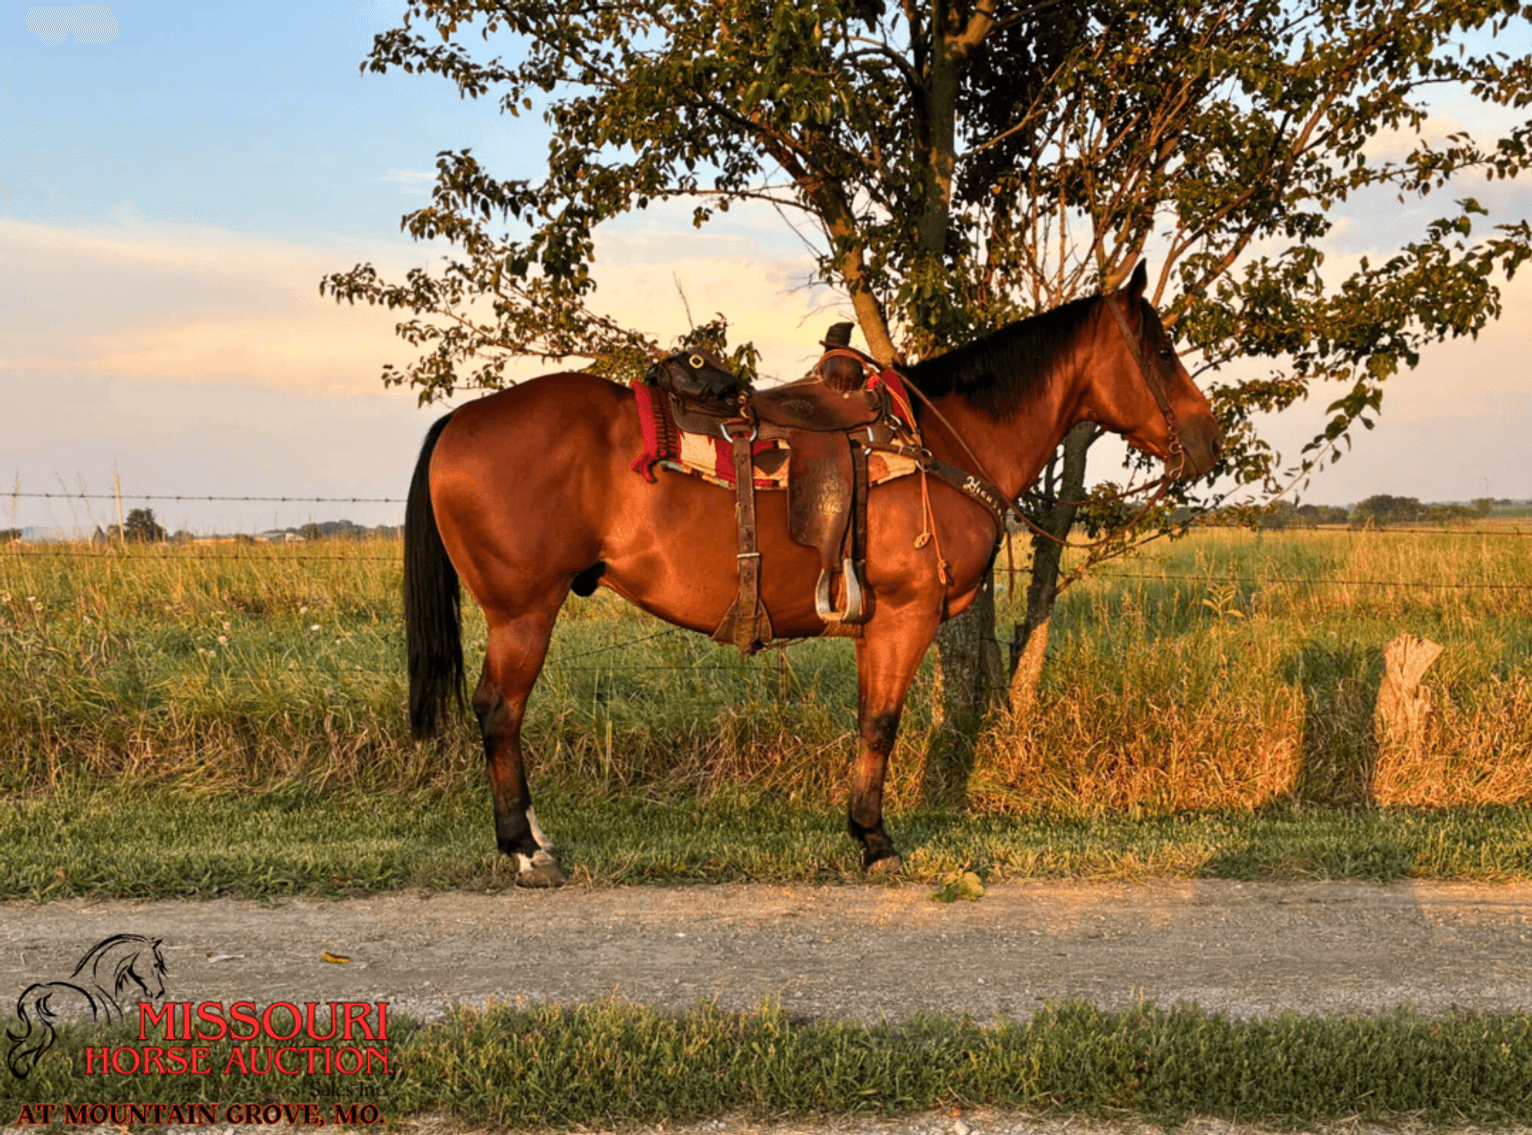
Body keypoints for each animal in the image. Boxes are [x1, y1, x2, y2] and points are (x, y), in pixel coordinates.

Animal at [404, 263, 1222, 886]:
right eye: (1160, 350)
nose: (1210, 439)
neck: (947, 440)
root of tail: (459, 421)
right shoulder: (906, 613)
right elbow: (883, 723)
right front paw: (876, 841)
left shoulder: (874, 622)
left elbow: (869, 719)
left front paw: (863, 831)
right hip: (523, 613)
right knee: (499, 713)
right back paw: (524, 850)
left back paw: (536, 837)